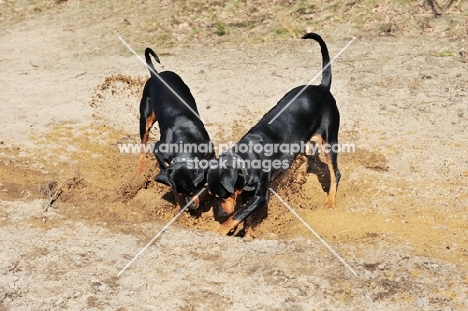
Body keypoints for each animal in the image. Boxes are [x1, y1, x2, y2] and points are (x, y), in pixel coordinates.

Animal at [136, 48, 215, 210]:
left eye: (193, 189)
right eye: (182, 191)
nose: (191, 208)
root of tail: (155, 74)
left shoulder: (210, 151)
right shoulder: (159, 149)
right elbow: (167, 175)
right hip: (145, 118)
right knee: (143, 144)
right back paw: (140, 170)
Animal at [207, 32, 340, 236]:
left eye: (223, 195)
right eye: (212, 196)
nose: (221, 214)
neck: (245, 159)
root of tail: (322, 87)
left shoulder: (260, 196)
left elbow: (238, 214)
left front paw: (221, 230)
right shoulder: (247, 194)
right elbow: (246, 217)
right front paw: (246, 234)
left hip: (329, 140)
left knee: (336, 174)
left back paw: (330, 202)